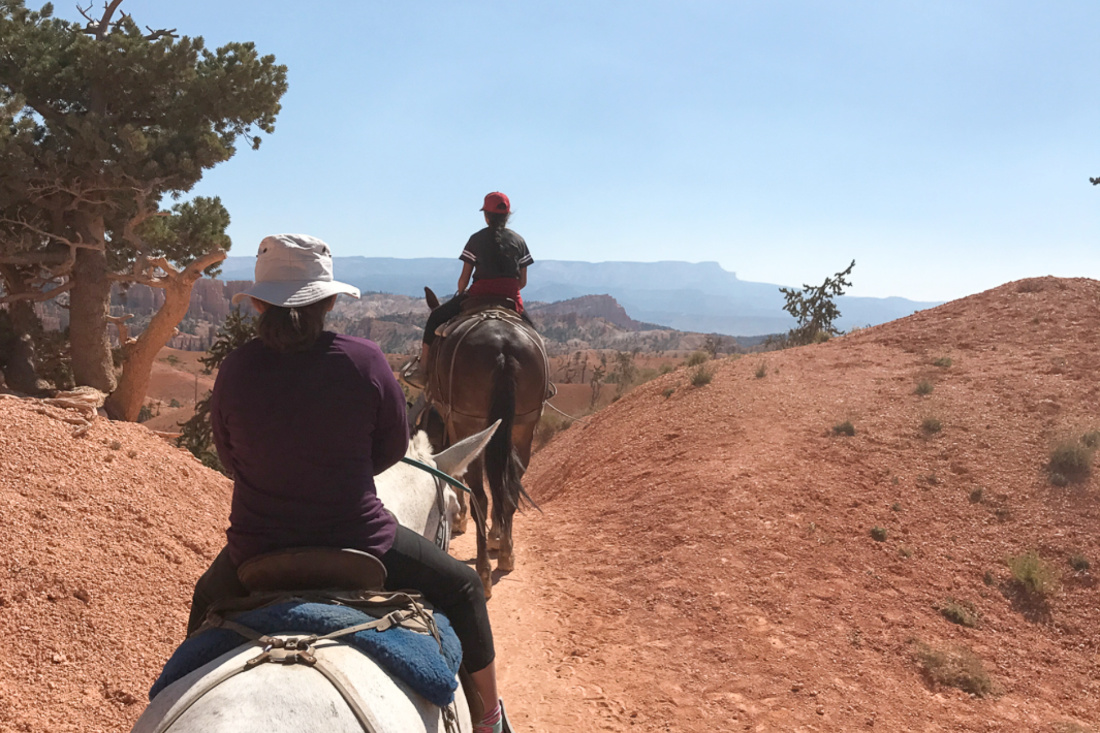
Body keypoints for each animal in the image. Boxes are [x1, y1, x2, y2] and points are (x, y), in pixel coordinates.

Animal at [418, 286, 547, 594]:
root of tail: (504, 348)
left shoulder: (454, 423)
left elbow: (457, 475)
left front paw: (460, 519)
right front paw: (496, 535)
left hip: (470, 419)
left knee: (481, 495)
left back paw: (484, 571)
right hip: (524, 425)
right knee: (508, 489)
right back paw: (506, 554)